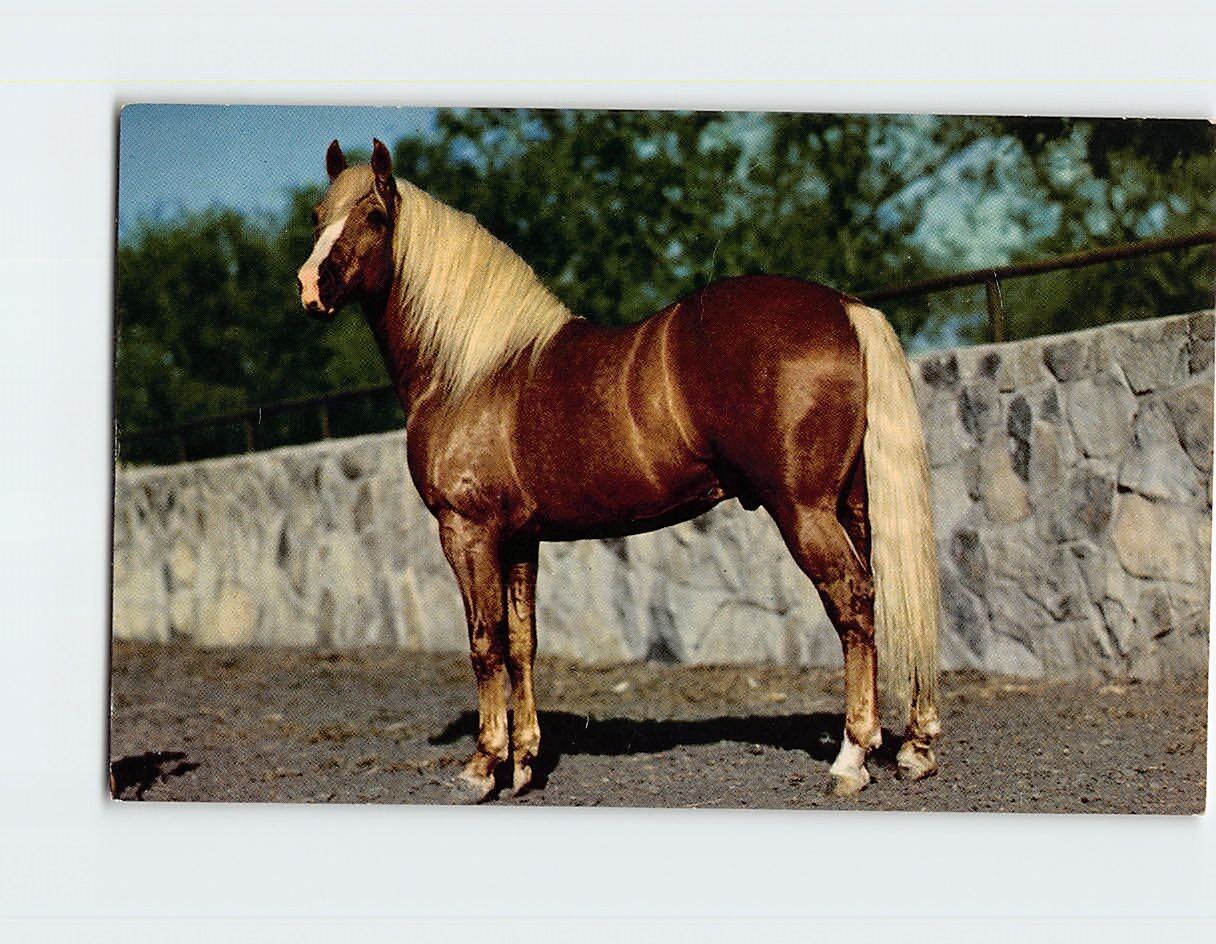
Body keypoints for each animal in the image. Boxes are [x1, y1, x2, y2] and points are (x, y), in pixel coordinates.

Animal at [296, 139, 941, 800]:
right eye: (319, 216)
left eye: (375, 216)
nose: (310, 288)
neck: (472, 371)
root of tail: (845, 308)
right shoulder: (520, 539)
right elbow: (522, 641)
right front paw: (524, 763)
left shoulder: (467, 531)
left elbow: (485, 642)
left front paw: (483, 765)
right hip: (851, 505)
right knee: (882, 596)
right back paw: (914, 747)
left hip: (805, 510)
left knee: (853, 601)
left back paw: (852, 756)